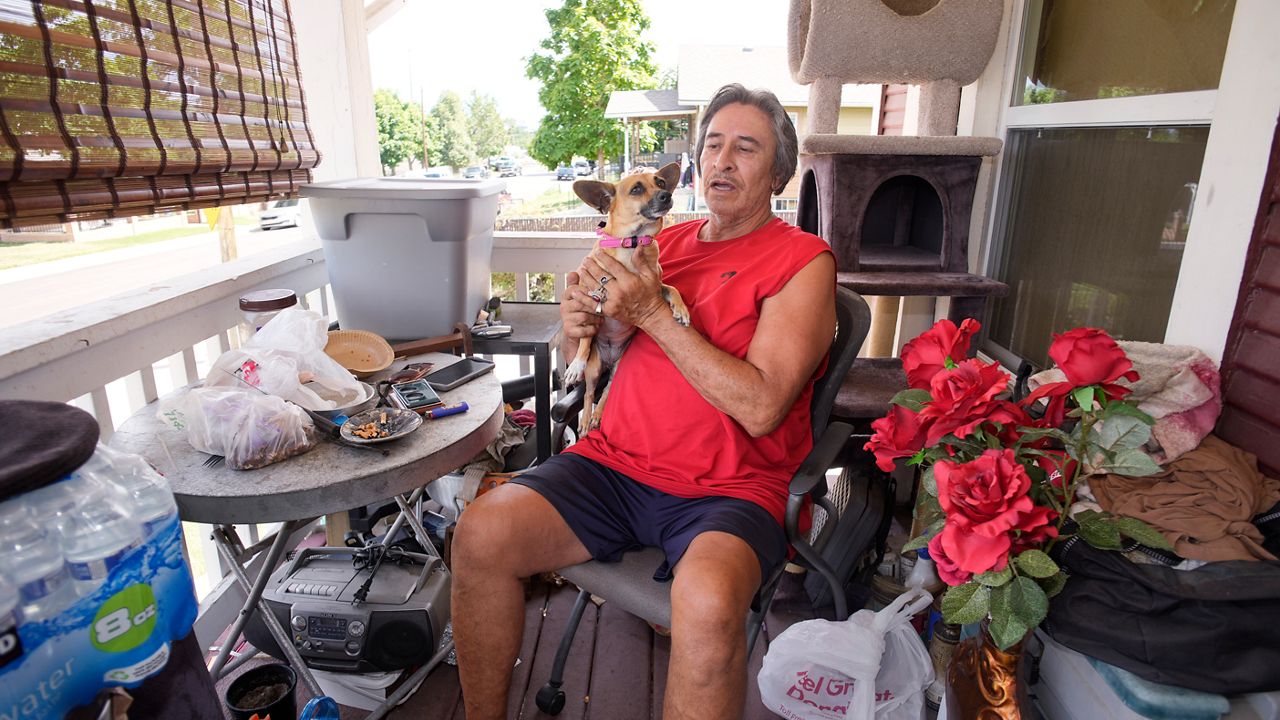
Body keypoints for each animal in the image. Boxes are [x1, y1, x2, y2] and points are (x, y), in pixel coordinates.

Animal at [565, 162, 691, 430]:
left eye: (661, 183)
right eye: (636, 189)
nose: (666, 195)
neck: (632, 244)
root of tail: (609, 359)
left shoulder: (655, 286)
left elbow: (672, 289)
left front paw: (681, 310)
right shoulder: (591, 297)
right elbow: (584, 338)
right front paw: (576, 363)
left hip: (618, 368)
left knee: (607, 390)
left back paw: (598, 415)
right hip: (594, 370)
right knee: (590, 393)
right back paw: (586, 419)